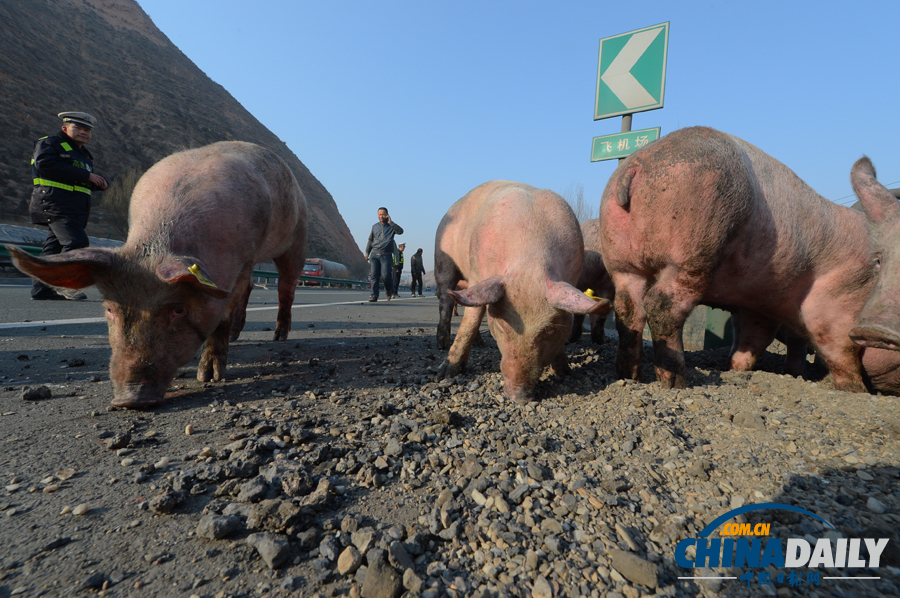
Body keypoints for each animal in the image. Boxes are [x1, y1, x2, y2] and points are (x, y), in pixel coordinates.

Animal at [6, 143, 310, 410]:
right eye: (109, 309)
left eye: (178, 309)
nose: (130, 399)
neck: (156, 248)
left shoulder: (242, 261)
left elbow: (222, 317)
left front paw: (209, 377)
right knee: (250, 290)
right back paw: (238, 335)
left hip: (296, 240)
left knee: (285, 288)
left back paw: (279, 336)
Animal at [596, 126, 900, 394]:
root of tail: (636, 167)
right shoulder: (836, 298)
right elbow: (838, 344)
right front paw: (856, 391)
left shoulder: (758, 305)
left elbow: (753, 340)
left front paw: (736, 369)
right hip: (694, 247)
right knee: (662, 306)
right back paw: (675, 383)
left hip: (621, 261)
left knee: (628, 309)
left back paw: (629, 375)